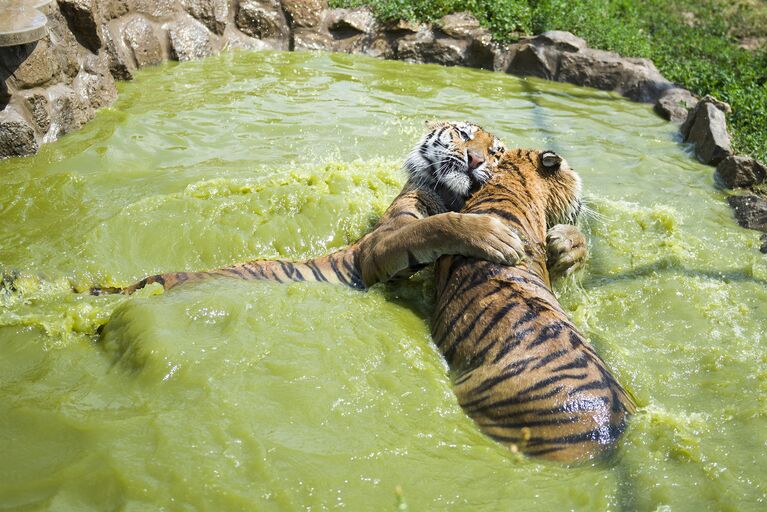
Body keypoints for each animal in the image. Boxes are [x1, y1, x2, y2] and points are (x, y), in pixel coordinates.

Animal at [90, 123, 584, 296]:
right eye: (464, 135)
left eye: (496, 151)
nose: (477, 159)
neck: (451, 194)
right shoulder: (380, 245)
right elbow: (434, 226)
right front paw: (489, 234)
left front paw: (567, 246)